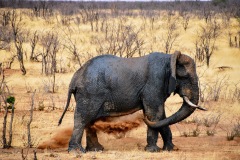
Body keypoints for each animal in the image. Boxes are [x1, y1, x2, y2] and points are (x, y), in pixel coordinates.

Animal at [58, 50, 206, 153]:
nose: (141, 117)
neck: (169, 58)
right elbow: (154, 114)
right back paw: (77, 152)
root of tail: (75, 77)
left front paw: (171, 149)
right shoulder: (154, 82)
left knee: (90, 120)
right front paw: (153, 151)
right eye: (185, 77)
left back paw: (96, 150)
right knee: (82, 118)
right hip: (89, 92)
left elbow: (161, 116)